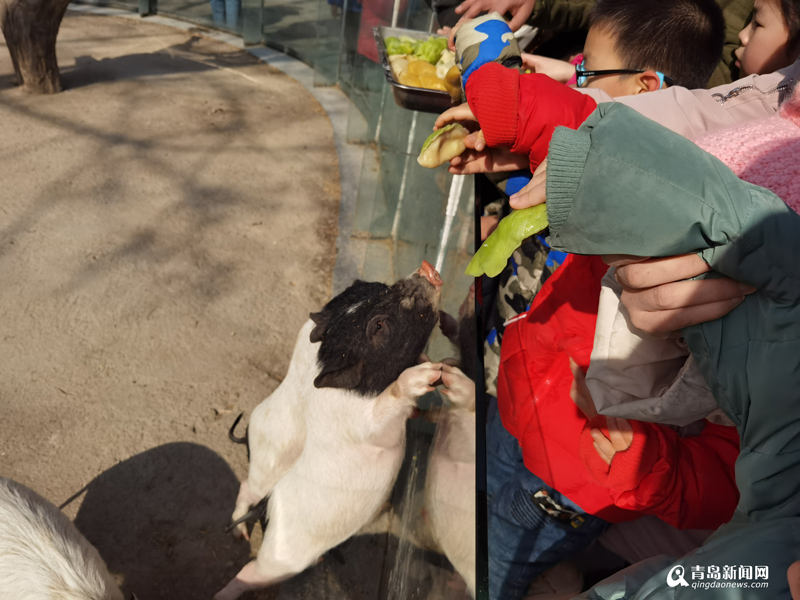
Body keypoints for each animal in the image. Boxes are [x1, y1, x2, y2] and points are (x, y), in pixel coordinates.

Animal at [216, 260, 446, 596]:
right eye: (378, 326)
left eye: (381, 290)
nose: (426, 269)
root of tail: (266, 509)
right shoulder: (364, 426)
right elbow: (383, 411)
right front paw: (428, 374)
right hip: (276, 552)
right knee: (249, 562)